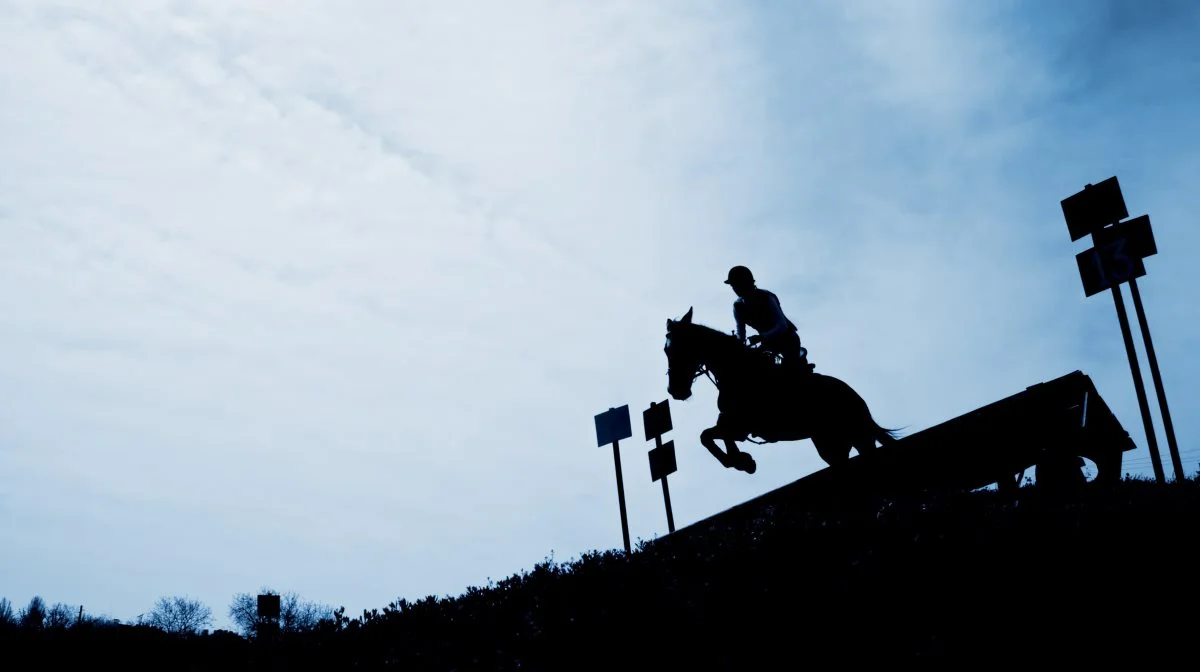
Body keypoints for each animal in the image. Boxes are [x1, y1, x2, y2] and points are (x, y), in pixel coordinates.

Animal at [667, 307, 902, 475]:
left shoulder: (742, 423)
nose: (675, 390)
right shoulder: (732, 422)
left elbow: (710, 435)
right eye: (666, 350)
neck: (738, 371)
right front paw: (741, 460)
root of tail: (856, 397)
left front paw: (741, 461)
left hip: (856, 434)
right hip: (830, 443)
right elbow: (709, 435)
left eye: (678, 349)